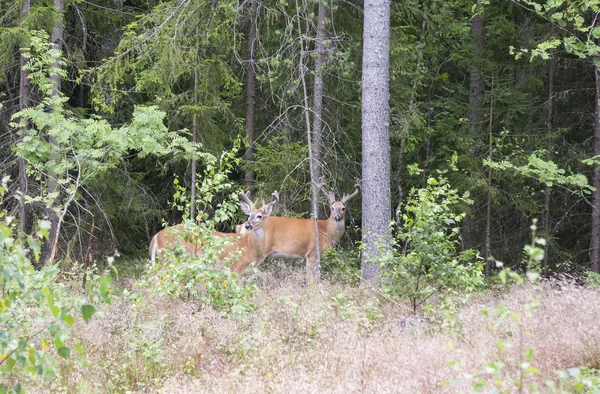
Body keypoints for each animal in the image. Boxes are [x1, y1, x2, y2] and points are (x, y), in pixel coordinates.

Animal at [150, 191, 282, 274]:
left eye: (260, 216)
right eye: (249, 215)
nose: (247, 225)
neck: (250, 247)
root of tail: (156, 236)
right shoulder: (235, 267)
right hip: (170, 258)